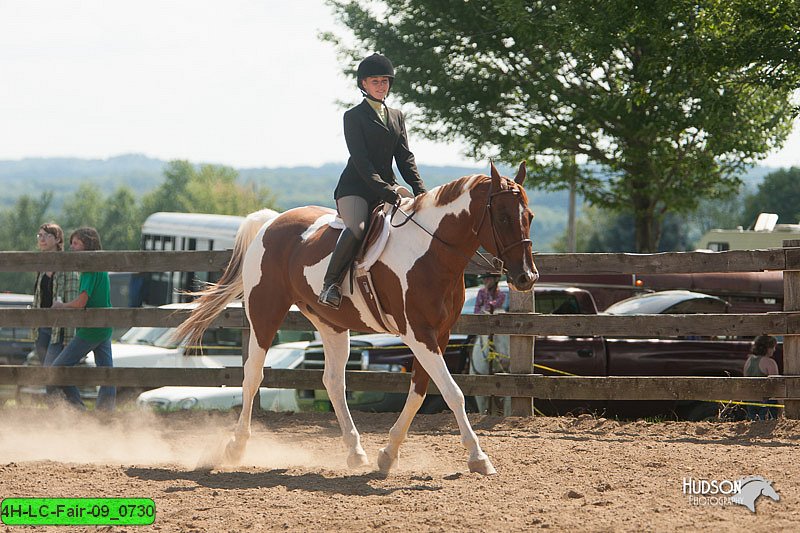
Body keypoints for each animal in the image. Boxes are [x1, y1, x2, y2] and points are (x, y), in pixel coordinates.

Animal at [174, 161, 536, 474]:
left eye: (529, 216)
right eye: (503, 217)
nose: (526, 277)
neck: (430, 250)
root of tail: (270, 222)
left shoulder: (439, 335)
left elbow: (420, 392)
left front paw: (388, 454)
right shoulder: (418, 333)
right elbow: (452, 392)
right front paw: (478, 456)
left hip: (331, 324)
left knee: (334, 382)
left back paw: (355, 450)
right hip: (265, 313)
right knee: (253, 376)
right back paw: (236, 447)